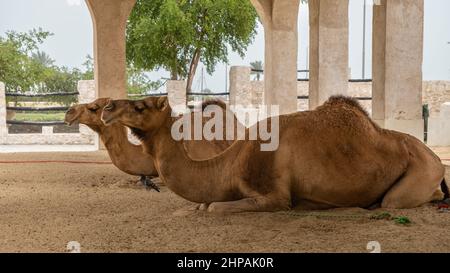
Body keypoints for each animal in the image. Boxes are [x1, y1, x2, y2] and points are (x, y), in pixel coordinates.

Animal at [100, 95, 448, 212]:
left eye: (141, 106)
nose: (107, 107)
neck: (231, 164)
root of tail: (434, 157)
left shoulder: (274, 195)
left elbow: (212, 208)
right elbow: (203, 203)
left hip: (421, 172)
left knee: (396, 201)